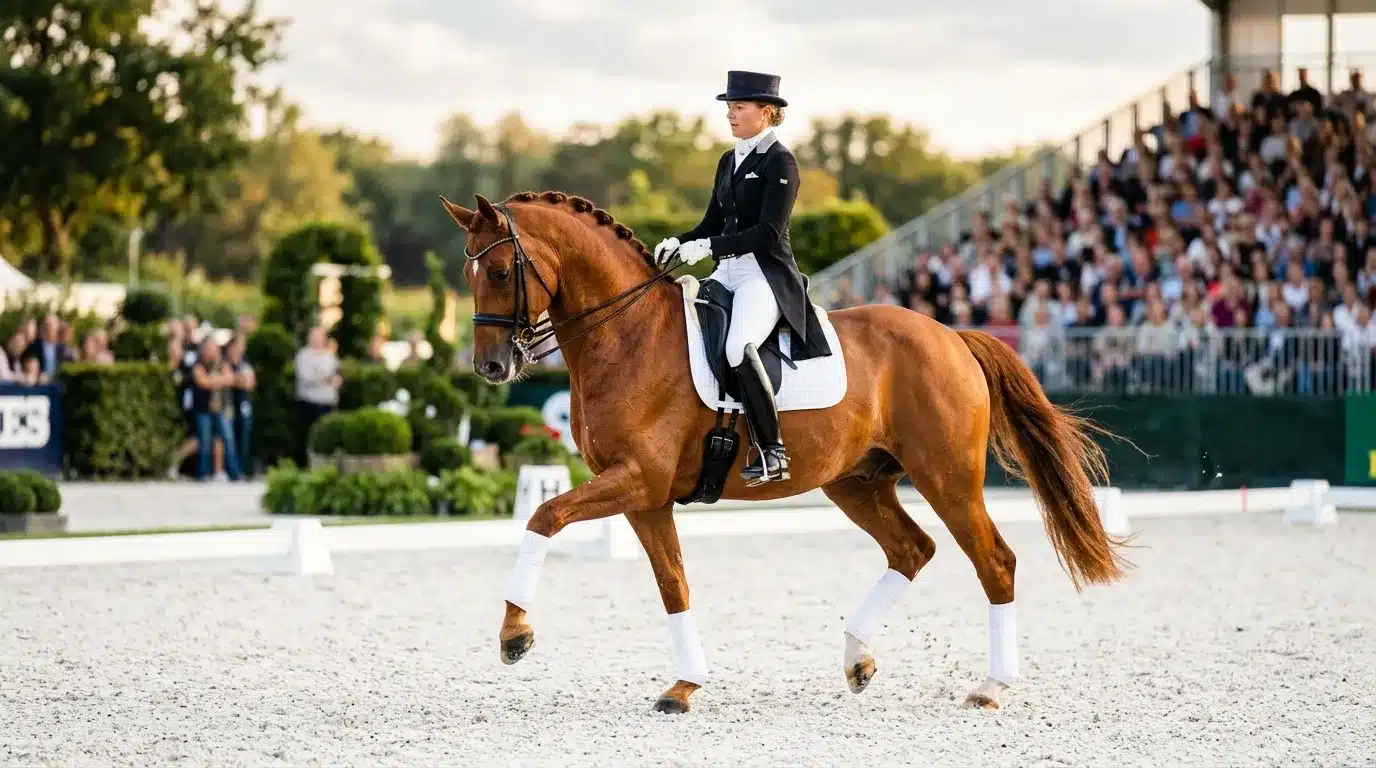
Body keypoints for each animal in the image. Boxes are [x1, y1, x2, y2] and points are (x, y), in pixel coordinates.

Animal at [439, 189, 1129, 714]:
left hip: (948, 479)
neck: (627, 334)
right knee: (913, 549)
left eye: (499, 272)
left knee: (996, 563)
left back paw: (990, 687)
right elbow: (673, 583)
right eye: (468, 274)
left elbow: (542, 516)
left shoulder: (637, 479)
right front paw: (683, 686)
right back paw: (857, 659)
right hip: (856, 482)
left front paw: (515, 635)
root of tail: (951, 334)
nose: (491, 367)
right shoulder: (643, 496)